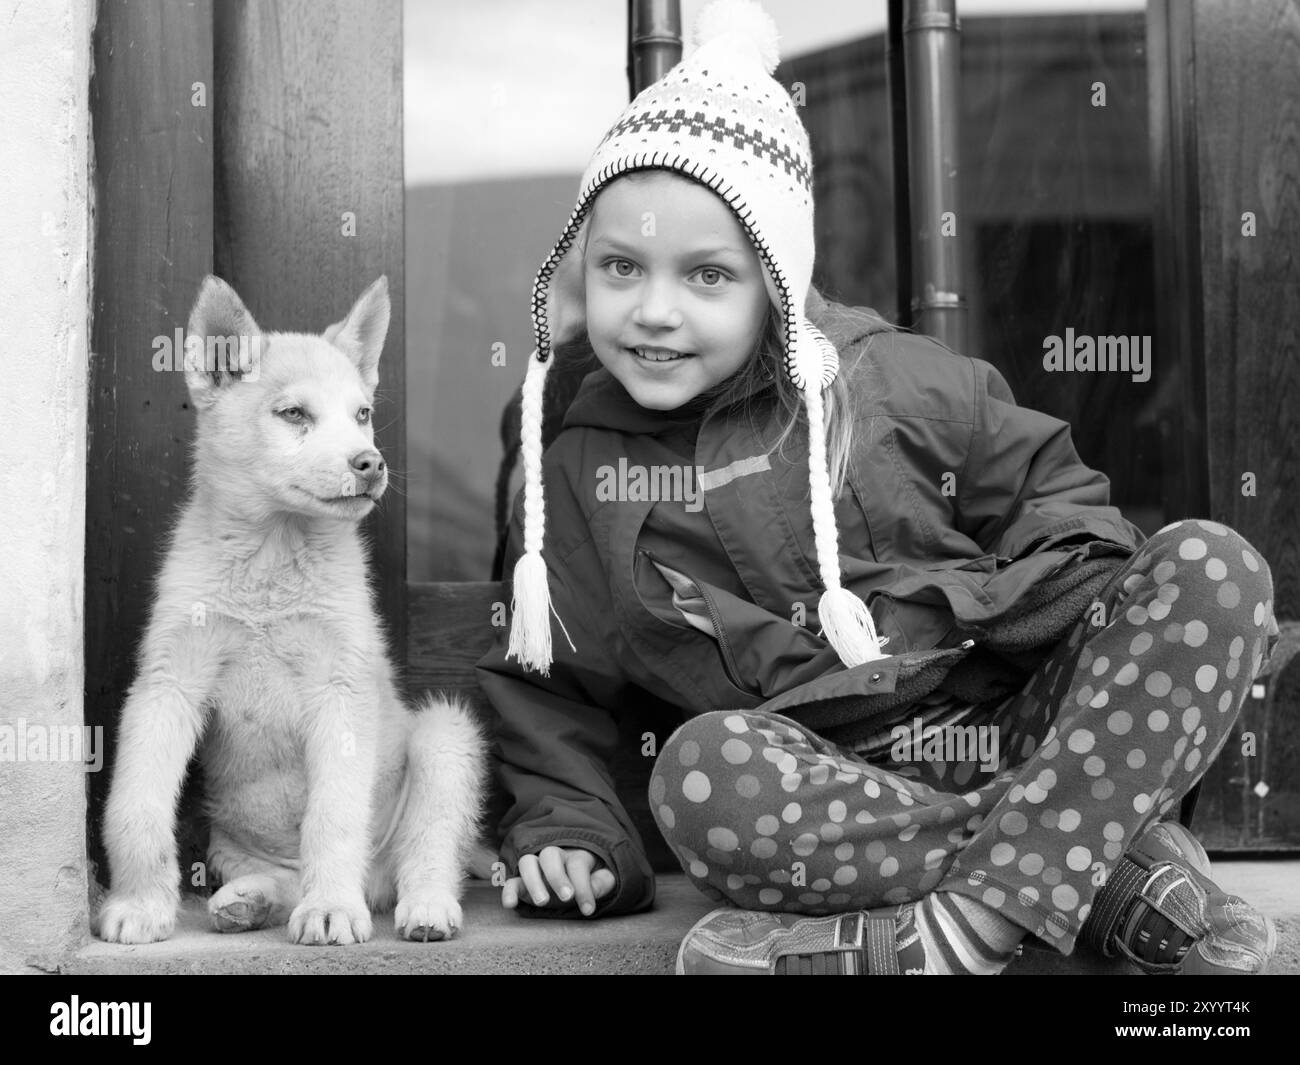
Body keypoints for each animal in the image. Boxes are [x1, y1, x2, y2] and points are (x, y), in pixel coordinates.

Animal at [97, 276, 488, 951]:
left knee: (427, 852)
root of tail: (376, 883)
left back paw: (421, 907)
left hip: (444, 738)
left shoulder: (341, 691)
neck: (271, 560)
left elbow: (333, 815)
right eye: (294, 414)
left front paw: (330, 908)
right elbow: (135, 807)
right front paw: (140, 906)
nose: (370, 463)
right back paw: (250, 901)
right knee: (283, 877)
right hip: (231, 845)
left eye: (362, 414)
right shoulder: (167, 685)